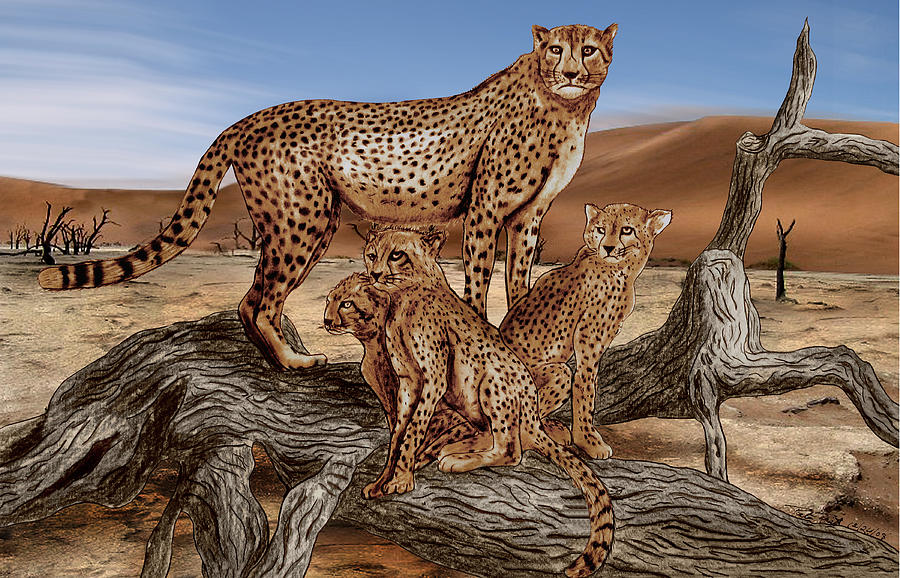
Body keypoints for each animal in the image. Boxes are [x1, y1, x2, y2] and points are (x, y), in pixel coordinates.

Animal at [37, 23, 618, 371]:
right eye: (555, 49)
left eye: (588, 49)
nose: (572, 72)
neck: (561, 106)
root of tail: (251, 117)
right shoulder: (484, 213)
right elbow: (477, 286)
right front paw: (486, 339)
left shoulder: (526, 217)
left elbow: (520, 284)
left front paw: (521, 340)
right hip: (303, 222)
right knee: (257, 301)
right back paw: (292, 364)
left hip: (310, 224)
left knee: (253, 298)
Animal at [362, 225, 614, 577]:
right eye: (372, 254)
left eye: (397, 254)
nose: (374, 273)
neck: (403, 298)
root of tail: (533, 412)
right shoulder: (409, 382)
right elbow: (398, 433)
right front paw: (384, 479)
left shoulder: (433, 380)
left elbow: (412, 431)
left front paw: (401, 479)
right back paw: (451, 449)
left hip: (491, 382)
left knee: (511, 450)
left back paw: (456, 459)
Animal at [500, 202, 672, 459]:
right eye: (600, 229)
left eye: (627, 230)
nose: (608, 248)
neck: (623, 269)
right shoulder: (589, 341)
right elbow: (585, 387)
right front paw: (589, 441)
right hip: (555, 373)